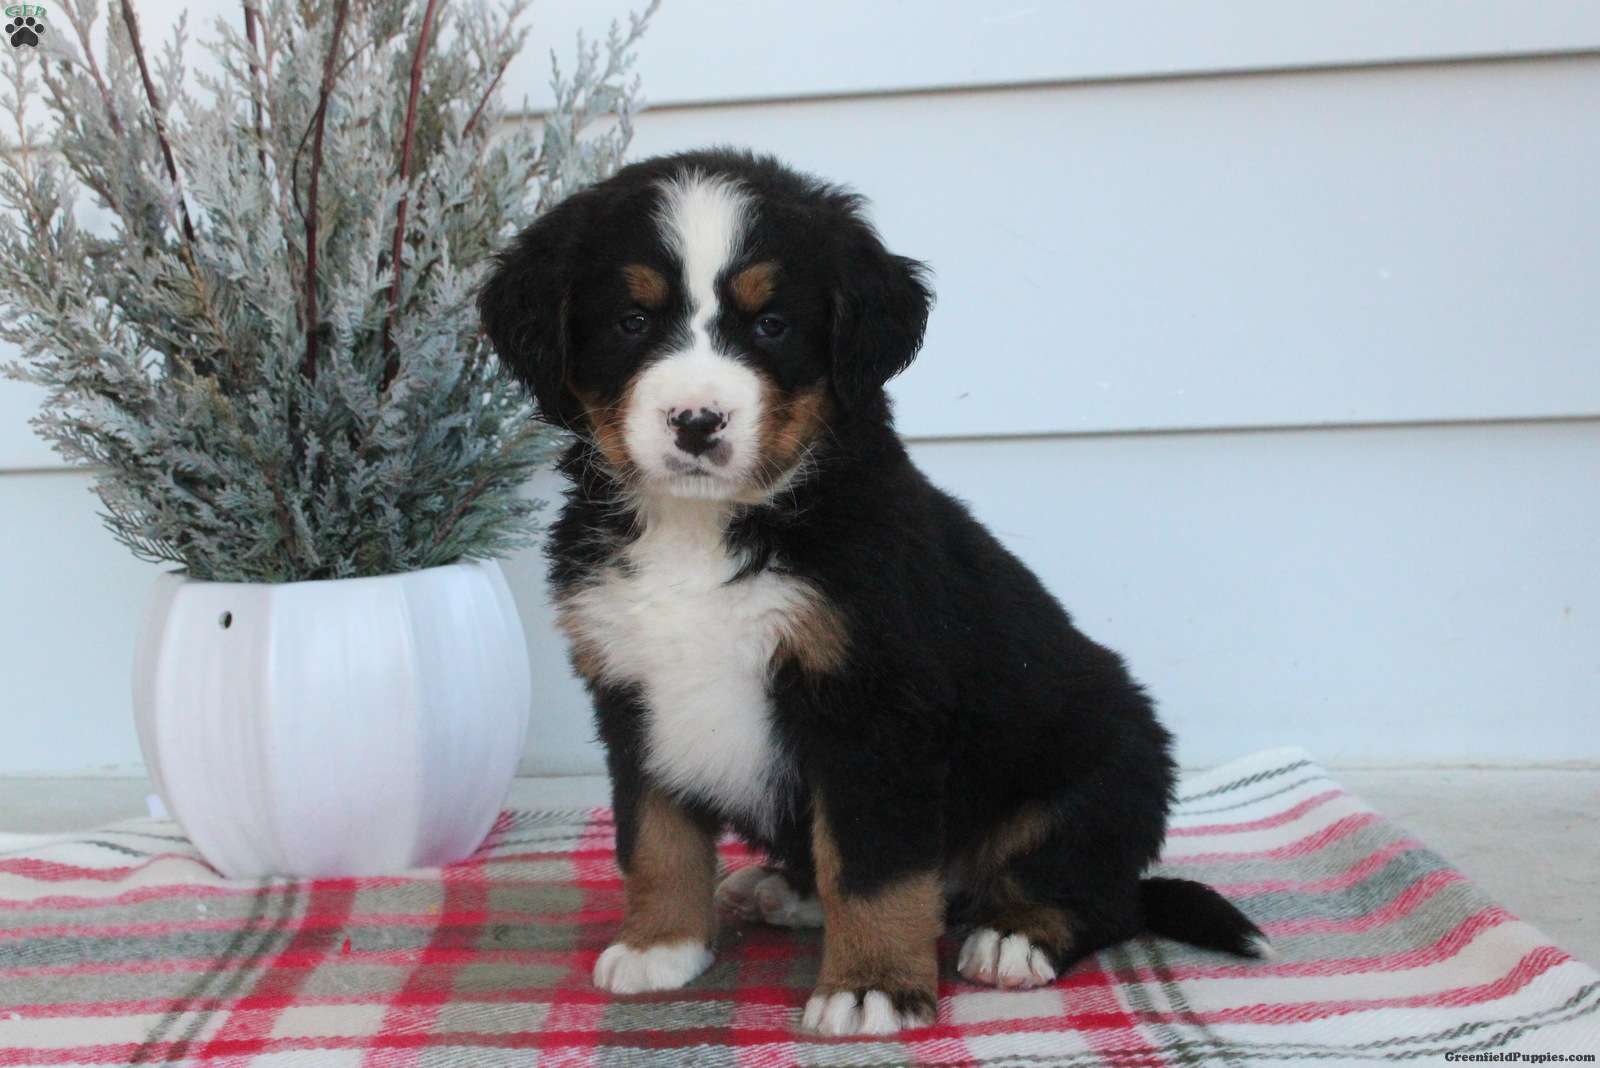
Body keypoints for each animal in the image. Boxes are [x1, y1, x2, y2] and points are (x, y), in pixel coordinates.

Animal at [479, 148, 1267, 1037]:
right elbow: (655, 836)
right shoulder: (631, 692)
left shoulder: (874, 705)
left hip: (1106, 762)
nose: (696, 421)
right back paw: (781, 889)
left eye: (771, 326)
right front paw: (662, 945)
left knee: (1098, 893)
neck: (703, 526)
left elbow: (873, 865)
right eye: (632, 323)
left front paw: (871, 987)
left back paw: (1014, 935)